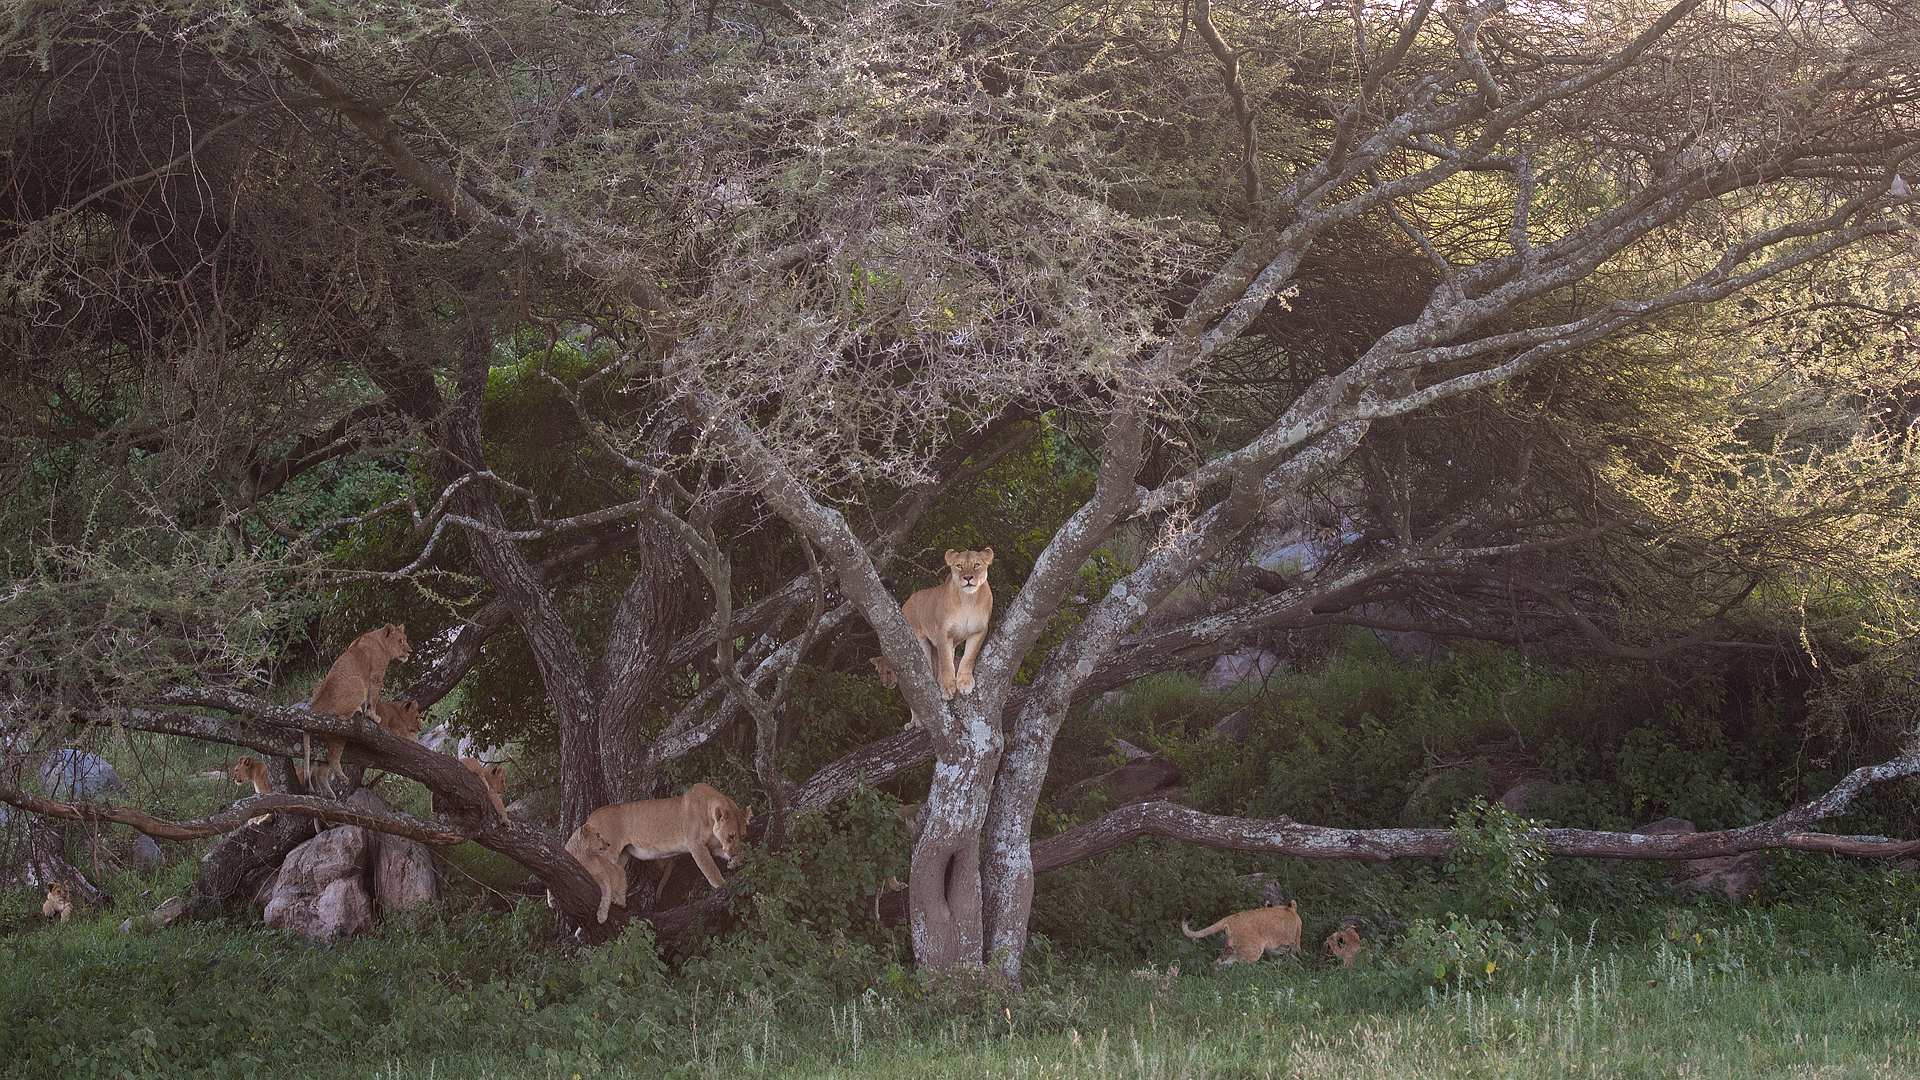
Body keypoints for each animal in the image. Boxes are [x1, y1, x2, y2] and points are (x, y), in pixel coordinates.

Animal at [303, 625, 412, 796]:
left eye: (405, 639)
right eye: (400, 641)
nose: (410, 651)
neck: (380, 640)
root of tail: (315, 705)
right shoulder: (375, 676)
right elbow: (372, 700)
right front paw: (373, 716)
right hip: (358, 681)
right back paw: (356, 711)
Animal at [562, 783, 753, 924]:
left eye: (743, 835)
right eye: (730, 836)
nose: (735, 851)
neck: (708, 815)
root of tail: (590, 818)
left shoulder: (713, 846)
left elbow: (733, 854)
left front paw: (735, 861)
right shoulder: (696, 846)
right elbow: (711, 871)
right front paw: (723, 888)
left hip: (621, 856)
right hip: (606, 852)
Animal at [898, 547, 993, 700]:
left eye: (976, 565)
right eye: (959, 566)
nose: (968, 578)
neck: (968, 601)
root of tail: (906, 603)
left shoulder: (979, 630)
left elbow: (969, 656)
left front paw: (965, 682)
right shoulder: (943, 632)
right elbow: (947, 664)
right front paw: (948, 687)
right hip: (922, 642)